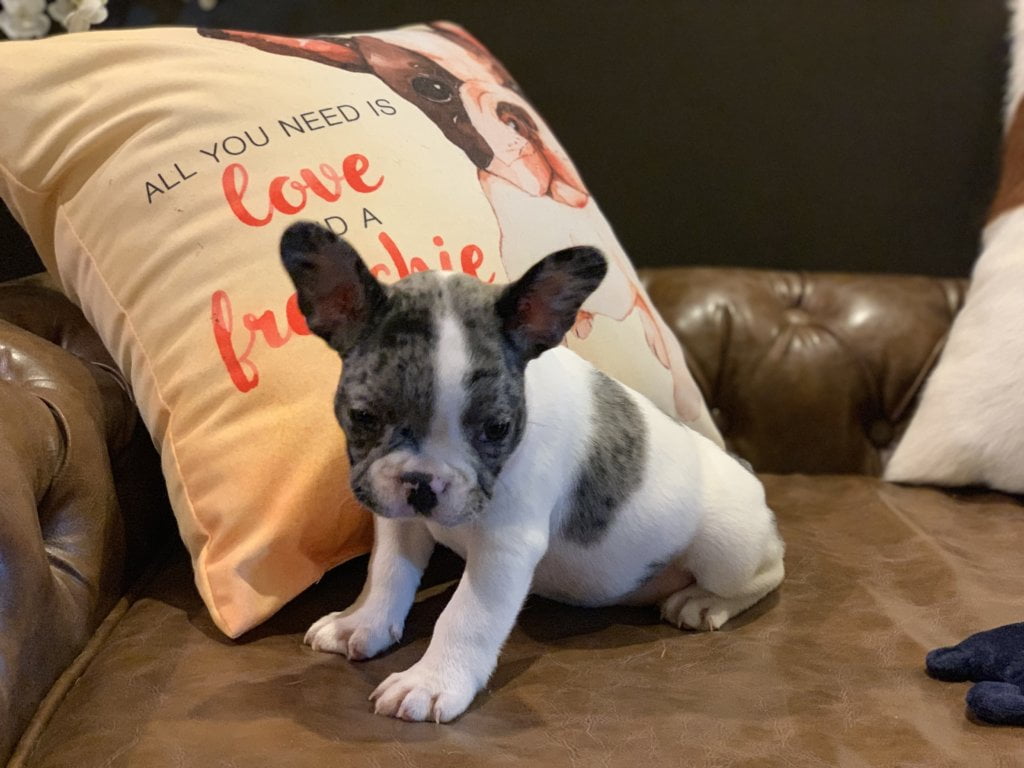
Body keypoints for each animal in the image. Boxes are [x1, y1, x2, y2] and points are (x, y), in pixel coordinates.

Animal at [280, 220, 785, 723]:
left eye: (497, 428)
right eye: (363, 417)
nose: (423, 484)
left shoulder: (505, 547)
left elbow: (466, 616)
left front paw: (432, 681)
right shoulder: (398, 520)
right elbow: (387, 572)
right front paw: (361, 622)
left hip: (727, 547)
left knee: (767, 571)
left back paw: (704, 602)